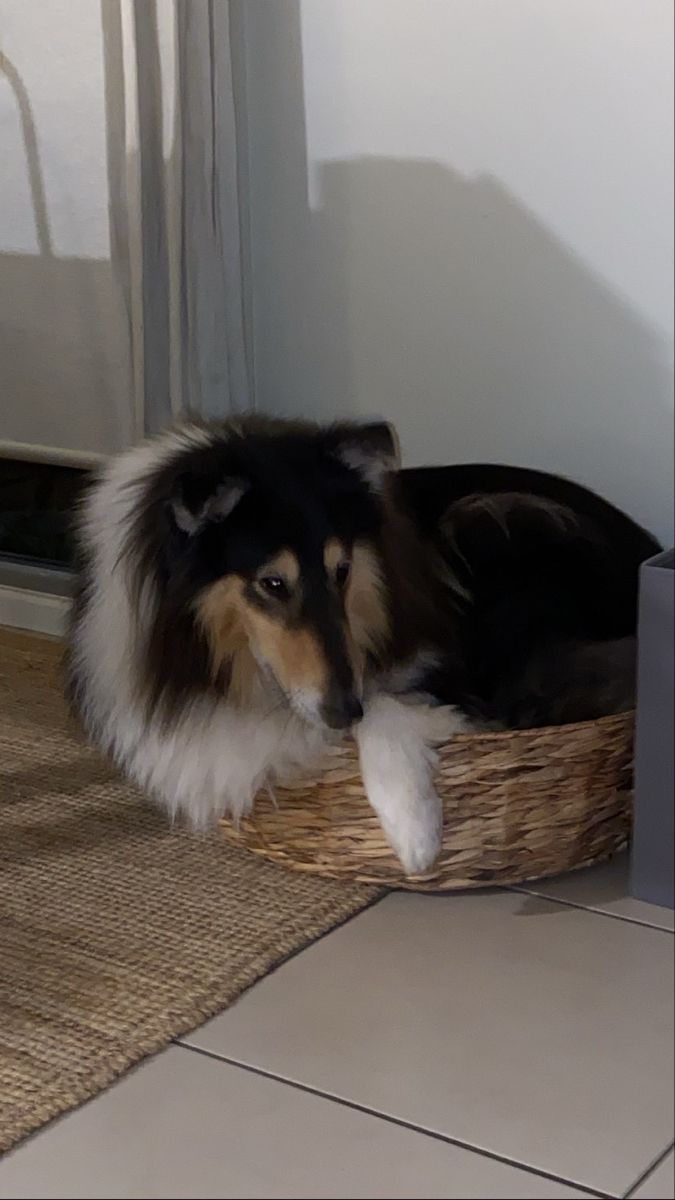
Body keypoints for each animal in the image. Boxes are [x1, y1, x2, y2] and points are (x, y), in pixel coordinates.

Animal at [68, 417, 658, 878]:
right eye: (272, 583)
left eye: (342, 570)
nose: (340, 710)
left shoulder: (446, 673)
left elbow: (387, 707)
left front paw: (415, 834)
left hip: (493, 516)